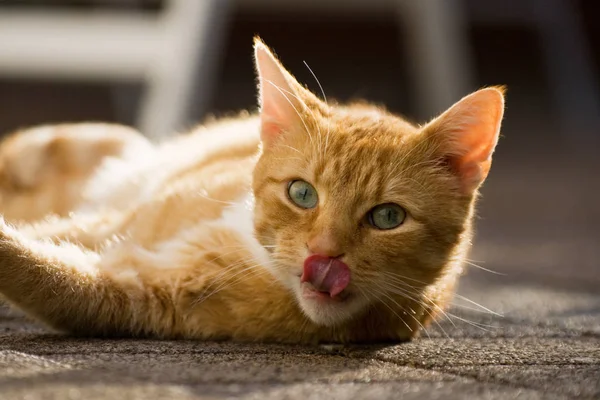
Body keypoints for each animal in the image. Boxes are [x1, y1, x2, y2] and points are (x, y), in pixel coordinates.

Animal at [0, 38, 506, 344]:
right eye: (302, 194)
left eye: (388, 218)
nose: (324, 254)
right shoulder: (114, 222)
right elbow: (58, 233)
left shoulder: (137, 296)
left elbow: (52, 276)